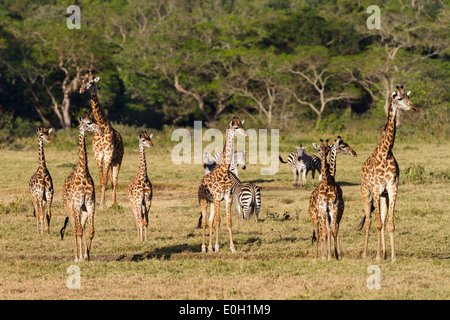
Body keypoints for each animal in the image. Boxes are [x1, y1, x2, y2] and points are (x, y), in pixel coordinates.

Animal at [62, 114, 103, 262]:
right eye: (88, 123)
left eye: (95, 119)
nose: (101, 129)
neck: (83, 172)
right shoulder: (77, 204)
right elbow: (79, 231)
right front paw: (80, 257)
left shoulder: (90, 204)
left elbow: (91, 232)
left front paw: (87, 255)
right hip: (69, 206)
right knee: (75, 229)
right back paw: (76, 256)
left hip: (83, 209)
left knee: (83, 227)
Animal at [79, 71, 124, 209]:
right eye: (82, 81)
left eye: (91, 82)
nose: (81, 90)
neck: (102, 124)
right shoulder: (98, 155)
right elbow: (101, 180)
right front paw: (100, 203)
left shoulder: (108, 154)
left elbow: (105, 181)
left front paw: (102, 204)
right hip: (109, 161)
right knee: (110, 179)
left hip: (117, 159)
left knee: (114, 181)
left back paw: (114, 203)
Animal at [197, 116, 246, 254]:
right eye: (236, 127)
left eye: (242, 125)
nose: (246, 134)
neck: (224, 171)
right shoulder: (218, 197)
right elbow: (218, 221)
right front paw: (218, 247)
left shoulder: (227, 197)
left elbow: (228, 221)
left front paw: (232, 247)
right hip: (203, 200)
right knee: (204, 221)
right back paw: (204, 248)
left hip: (212, 202)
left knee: (209, 221)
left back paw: (210, 248)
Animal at [358, 85, 418, 262]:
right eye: (399, 98)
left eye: (408, 96)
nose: (414, 108)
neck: (386, 153)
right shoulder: (377, 189)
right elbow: (377, 224)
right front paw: (377, 256)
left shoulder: (392, 188)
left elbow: (390, 225)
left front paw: (392, 257)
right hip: (366, 192)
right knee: (370, 220)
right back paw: (365, 254)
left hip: (383, 196)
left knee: (382, 221)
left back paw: (384, 253)